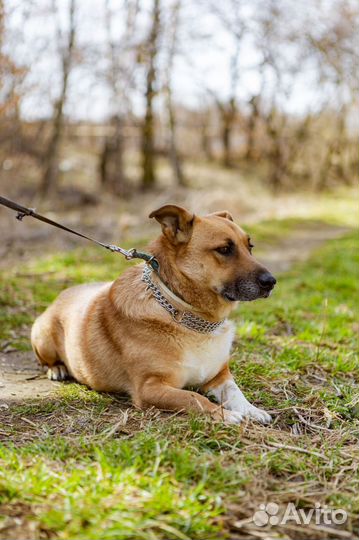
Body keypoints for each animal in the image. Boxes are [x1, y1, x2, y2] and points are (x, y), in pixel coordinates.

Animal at [31, 205, 278, 424]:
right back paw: (57, 369)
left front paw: (252, 410)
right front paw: (225, 415)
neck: (188, 316)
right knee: (45, 360)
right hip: (42, 337)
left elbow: (236, 392)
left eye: (250, 246)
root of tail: (65, 292)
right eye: (225, 249)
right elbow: (193, 398)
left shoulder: (219, 376)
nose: (271, 282)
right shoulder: (149, 387)